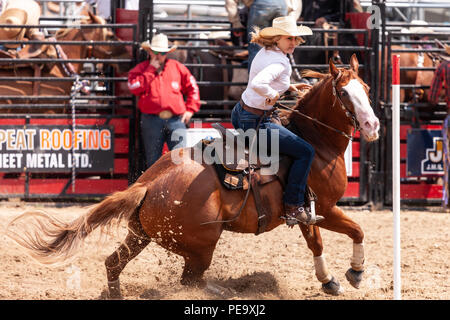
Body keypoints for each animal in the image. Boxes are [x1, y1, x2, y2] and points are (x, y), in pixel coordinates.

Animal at [7, 54, 380, 298]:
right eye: (344, 93)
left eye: (366, 87)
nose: (373, 125)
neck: (315, 141)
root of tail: (147, 183)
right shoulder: (324, 207)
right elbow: (355, 231)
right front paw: (355, 272)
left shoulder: (308, 212)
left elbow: (318, 241)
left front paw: (330, 279)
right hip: (200, 249)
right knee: (189, 283)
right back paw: (223, 290)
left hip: (140, 235)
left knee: (113, 263)